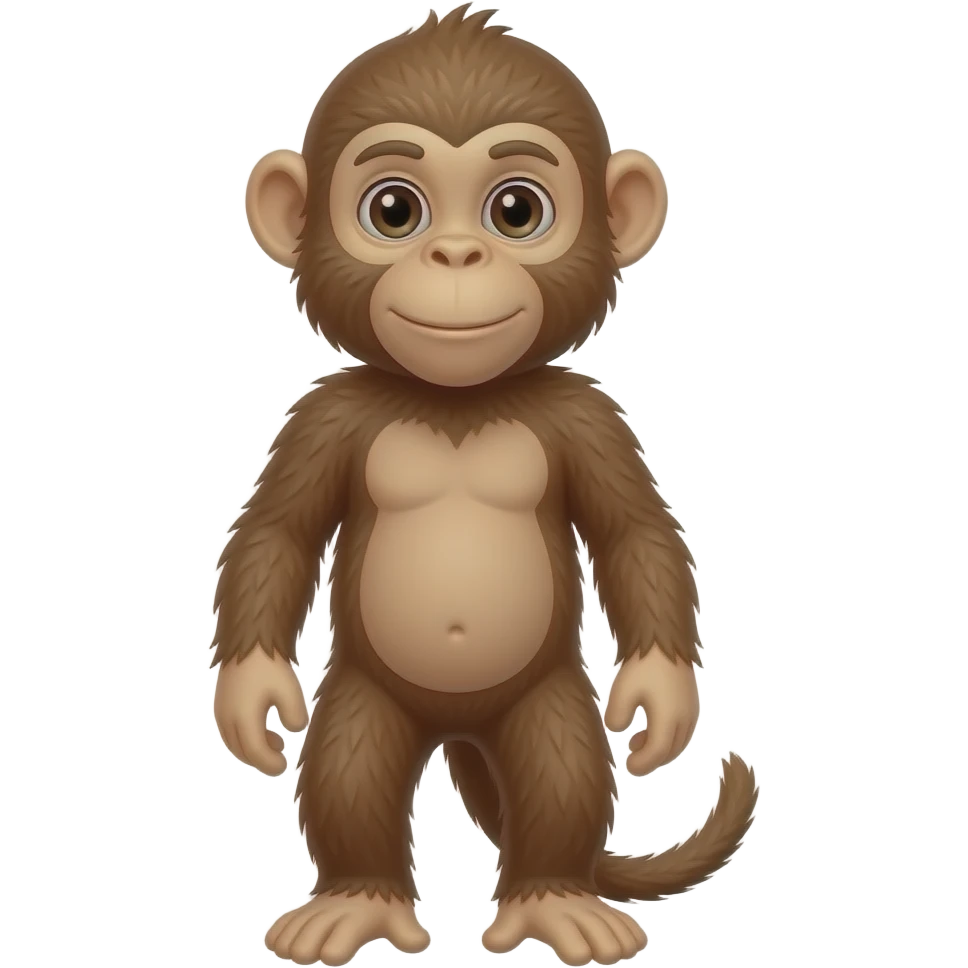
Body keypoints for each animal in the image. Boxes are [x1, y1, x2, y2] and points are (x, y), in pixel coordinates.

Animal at [212, 6, 759, 967]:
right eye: (394, 209)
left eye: (516, 210)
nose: (458, 252)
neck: (457, 402)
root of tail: (456, 725)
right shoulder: (324, 417)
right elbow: (277, 531)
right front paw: (252, 695)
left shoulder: (588, 417)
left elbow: (636, 533)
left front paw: (661, 696)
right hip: (370, 691)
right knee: (351, 762)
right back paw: (355, 900)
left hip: (544, 695)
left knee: (561, 763)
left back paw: (554, 899)